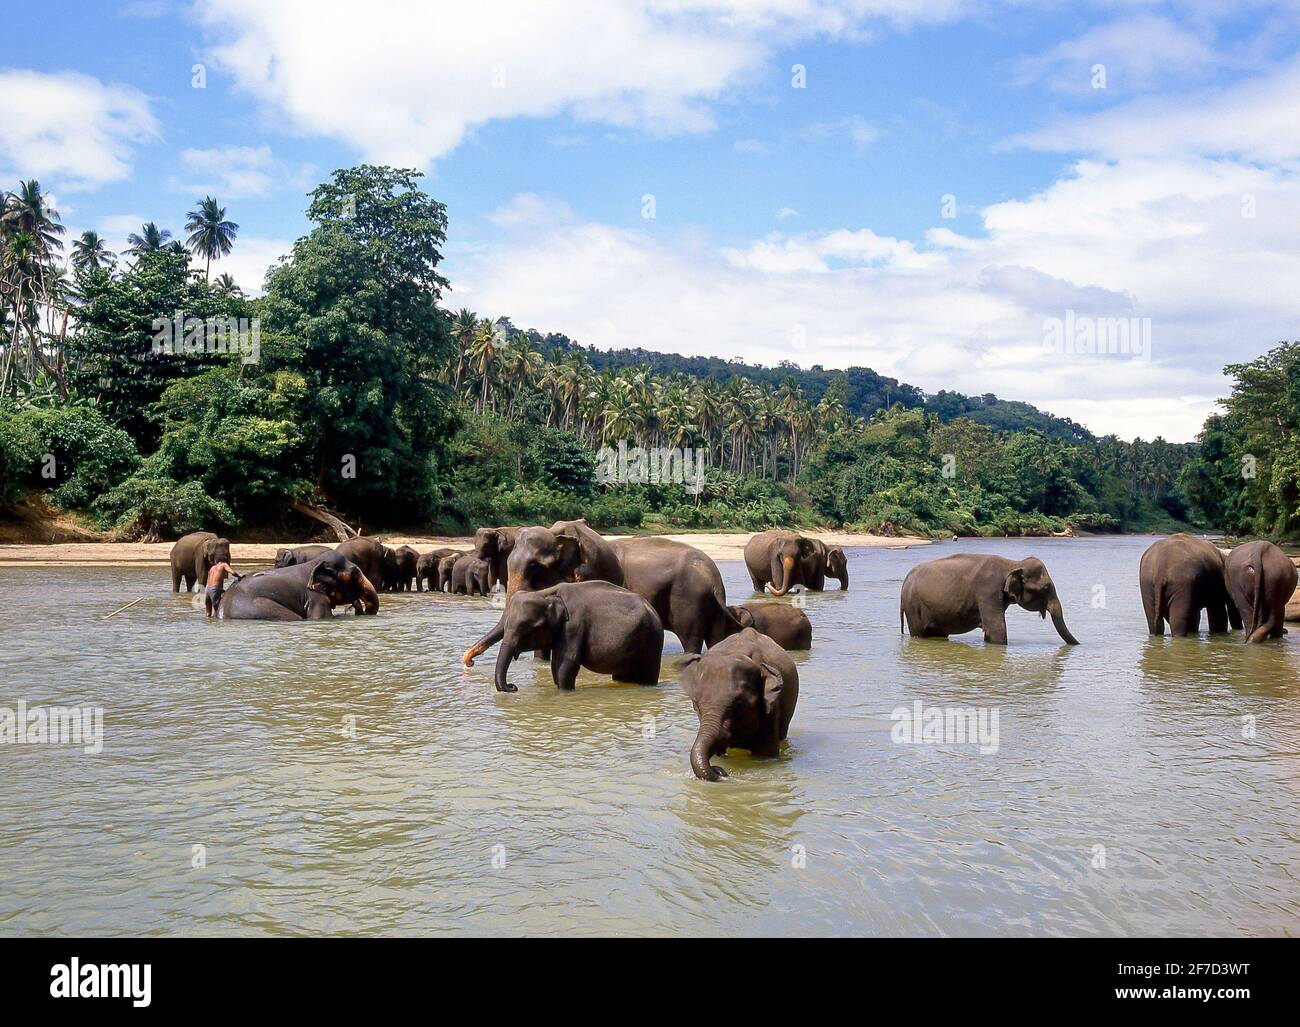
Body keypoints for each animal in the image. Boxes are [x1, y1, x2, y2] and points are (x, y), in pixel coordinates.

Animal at [462, 580, 664, 692]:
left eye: (526, 628)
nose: (513, 687)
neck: (547, 593)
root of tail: (653, 610)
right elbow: (555, 667)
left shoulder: (573, 627)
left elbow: (565, 665)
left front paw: (565, 693)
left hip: (652, 641)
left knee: (647, 675)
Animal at [502, 520, 741, 653]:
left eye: (534, 566)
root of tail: (713, 576)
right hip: (709, 604)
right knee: (715, 638)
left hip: (688, 598)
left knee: (690, 638)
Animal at [900, 553, 1079, 645]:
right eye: (1046, 588)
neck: (1012, 563)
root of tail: (906, 578)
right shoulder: (988, 590)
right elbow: (996, 628)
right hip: (912, 606)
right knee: (918, 632)